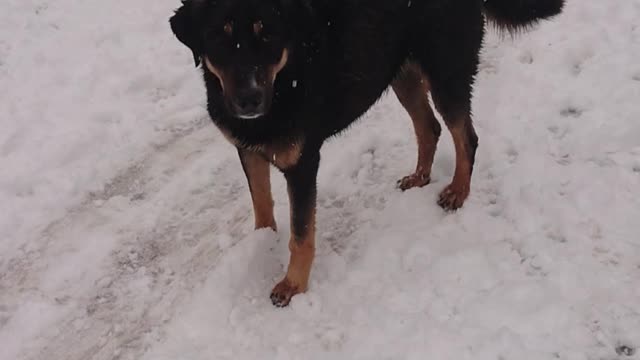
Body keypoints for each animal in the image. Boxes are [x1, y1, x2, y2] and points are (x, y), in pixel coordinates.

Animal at [170, 0, 564, 306]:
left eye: (267, 35)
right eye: (218, 38)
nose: (249, 100)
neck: (284, 80)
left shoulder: (303, 163)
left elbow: (301, 234)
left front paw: (293, 285)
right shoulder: (248, 150)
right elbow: (262, 206)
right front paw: (263, 242)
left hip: (447, 71)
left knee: (465, 136)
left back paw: (458, 191)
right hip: (401, 73)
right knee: (429, 129)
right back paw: (420, 176)